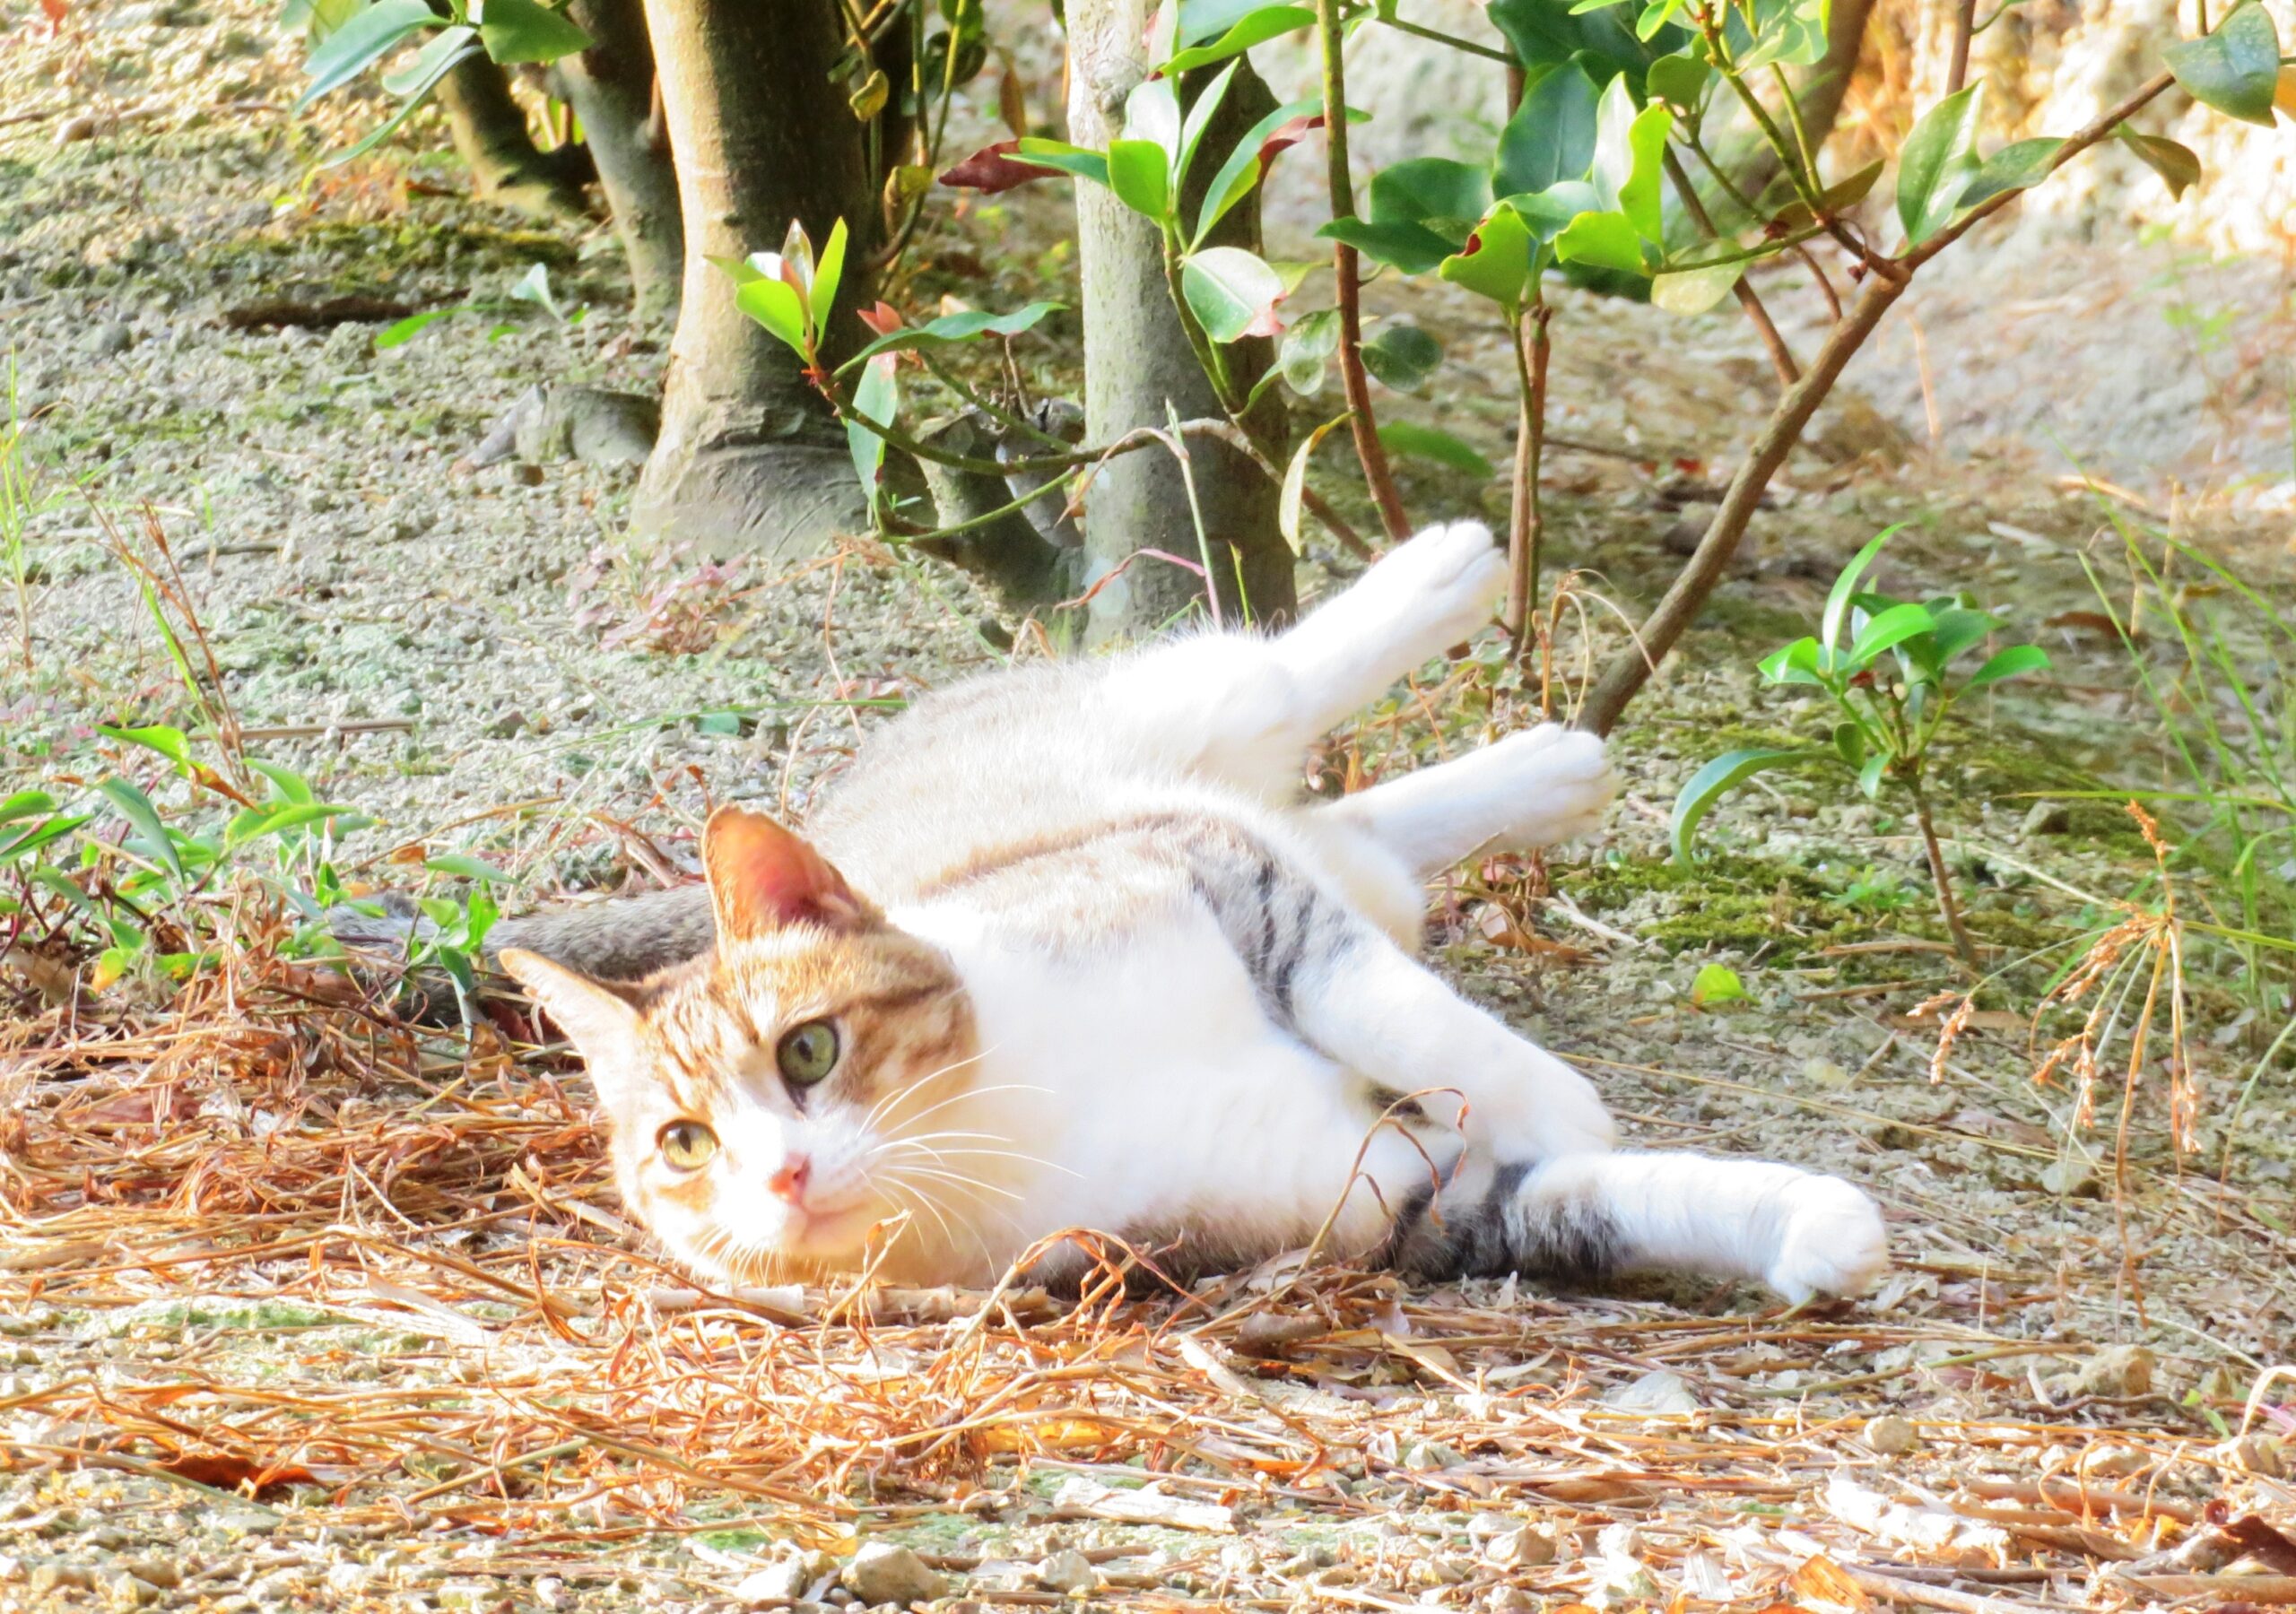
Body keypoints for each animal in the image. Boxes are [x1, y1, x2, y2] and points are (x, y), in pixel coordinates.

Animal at [433, 523, 1883, 1304]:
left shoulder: (1205, 871)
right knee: (1374, 846)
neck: (1003, 1118)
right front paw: (1807, 1227)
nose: (781, 1175)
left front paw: (1553, 1096)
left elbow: (1398, 1016)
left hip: (1185, 724)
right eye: (683, 1145)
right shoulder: (1401, 1204)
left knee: (1277, 683)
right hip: (1296, 835)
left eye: (809, 1049)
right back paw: (1555, 767)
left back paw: (1451, 589)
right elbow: (1585, 1195)